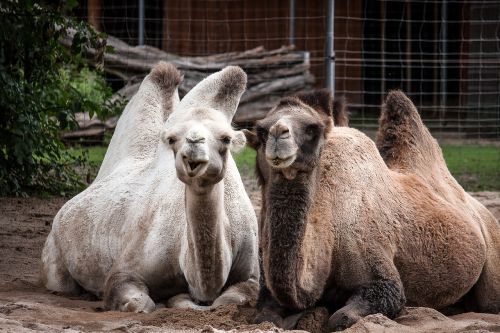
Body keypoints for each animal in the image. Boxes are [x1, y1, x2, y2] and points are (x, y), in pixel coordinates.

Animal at [41, 61, 260, 312]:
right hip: (55, 254)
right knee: (61, 282)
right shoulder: (125, 271)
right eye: (173, 139)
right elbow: (139, 303)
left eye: (226, 138)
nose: (193, 144)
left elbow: (229, 299)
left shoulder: (250, 275)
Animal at [244, 90, 498, 330]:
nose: (278, 133)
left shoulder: (374, 262)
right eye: (261, 130)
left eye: (312, 129)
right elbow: (264, 316)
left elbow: (345, 316)